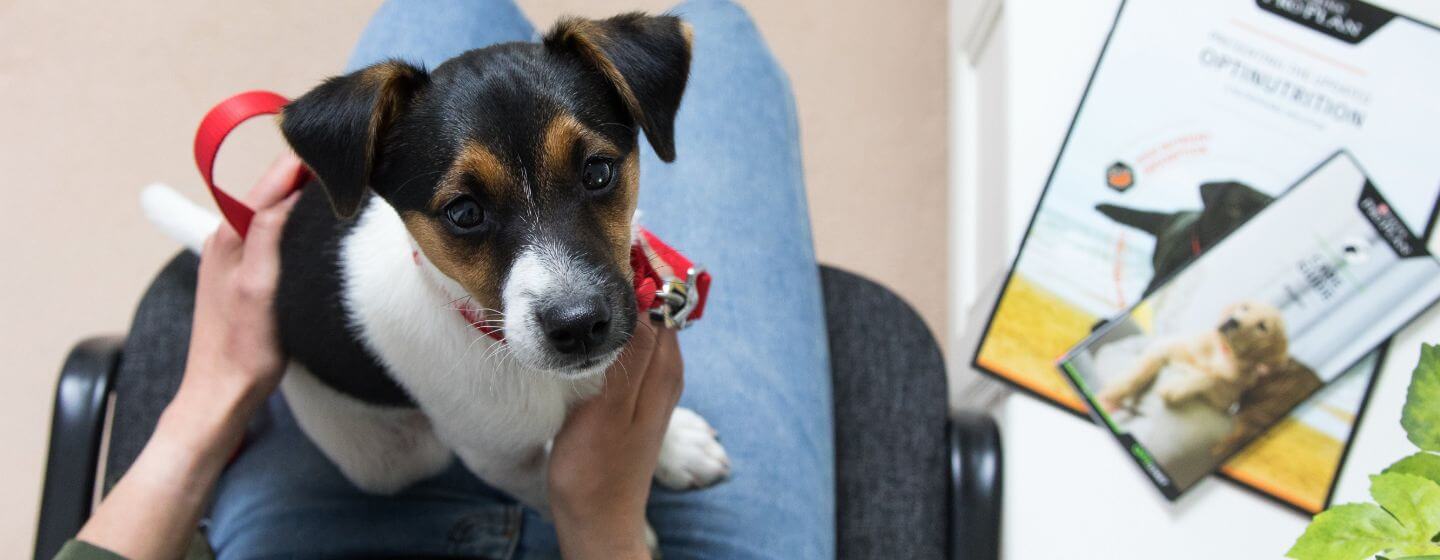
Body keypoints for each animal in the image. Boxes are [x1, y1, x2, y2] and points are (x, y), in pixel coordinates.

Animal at [1094, 300, 1290, 414]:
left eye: (1262, 326)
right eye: (1245, 308)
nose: (1232, 321)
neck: (1221, 353)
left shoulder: (1225, 401)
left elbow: (1209, 377)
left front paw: (1175, 389)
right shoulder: (1164, 348)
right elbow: (1139, 371)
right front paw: (1112, 393)